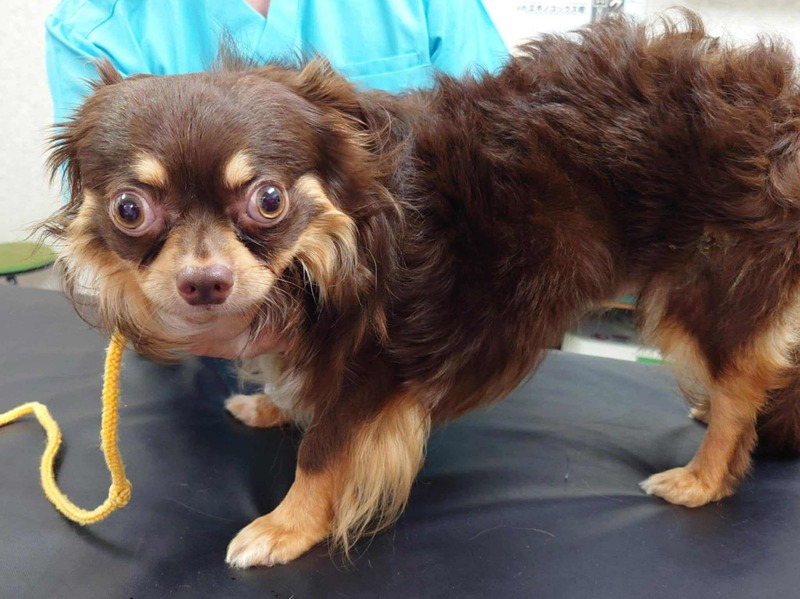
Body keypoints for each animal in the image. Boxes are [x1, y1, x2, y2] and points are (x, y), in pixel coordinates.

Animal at [42, 12, 800, 568]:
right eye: (130, 210)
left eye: (268, 200)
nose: (204, 283)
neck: (342, 234)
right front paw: (271, 404)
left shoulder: (379, 365)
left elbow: (323, 453)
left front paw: (286, 527)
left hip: (707, 293)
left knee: (740, 391)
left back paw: (702, 477)